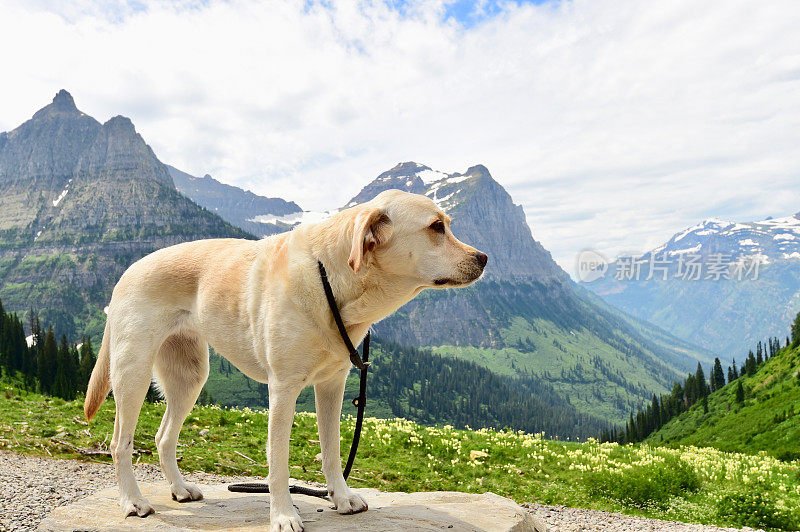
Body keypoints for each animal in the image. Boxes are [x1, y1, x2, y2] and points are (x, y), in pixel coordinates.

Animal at [86, 189, 488, 528]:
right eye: (436, 227)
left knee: (163, 437)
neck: (332, 280)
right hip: (133, 374)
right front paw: (282, 515)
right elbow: (278, 460)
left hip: (189, 378)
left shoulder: (332, 386)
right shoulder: (283, 389)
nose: (483, 258)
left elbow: (332, 450)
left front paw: (341, 498)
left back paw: (180, 489)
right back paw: (132, 501)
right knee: (119, 444)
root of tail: (126, 272)